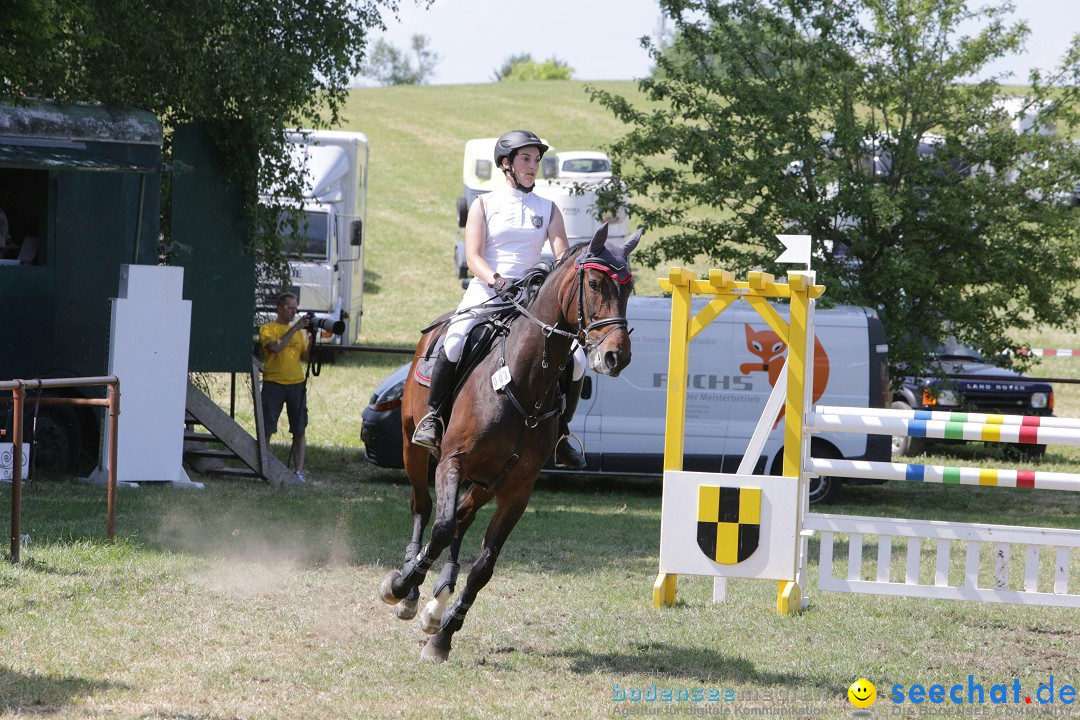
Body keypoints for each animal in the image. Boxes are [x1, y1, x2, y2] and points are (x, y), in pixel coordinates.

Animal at [378, 222, 635, 660]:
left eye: (630, 287)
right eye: (595, 283)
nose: (618, 356)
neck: (525, 380)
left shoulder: (517, 489)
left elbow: (484, 565)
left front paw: (443, 636)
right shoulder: (453, 461)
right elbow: (441, 527)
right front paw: (400, 585)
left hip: (488, 481)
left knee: (462, 515)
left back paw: (437, 602)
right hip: (415, 450)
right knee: (425, 508)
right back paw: (411, 590)